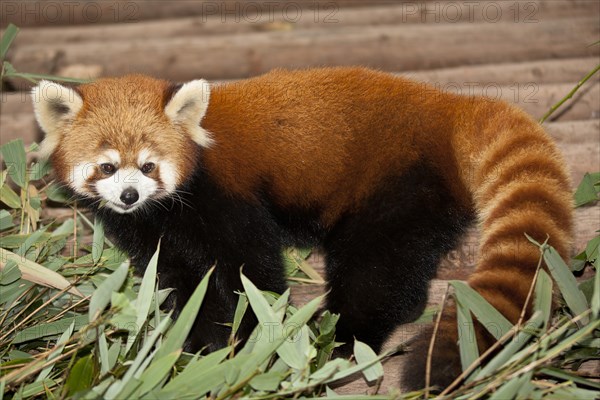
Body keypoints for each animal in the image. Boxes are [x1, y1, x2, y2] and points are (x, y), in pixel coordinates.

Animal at [31, 66, 572, 390]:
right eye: (107, 167)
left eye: (147, 166)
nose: (129, 196)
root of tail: (446, 106)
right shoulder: (155, 230)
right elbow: (181, 282)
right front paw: (197, 341)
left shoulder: (225, 196)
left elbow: (252, 269)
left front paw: (255, 337)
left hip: (396, 181)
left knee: (376, 267)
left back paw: (343, 337)